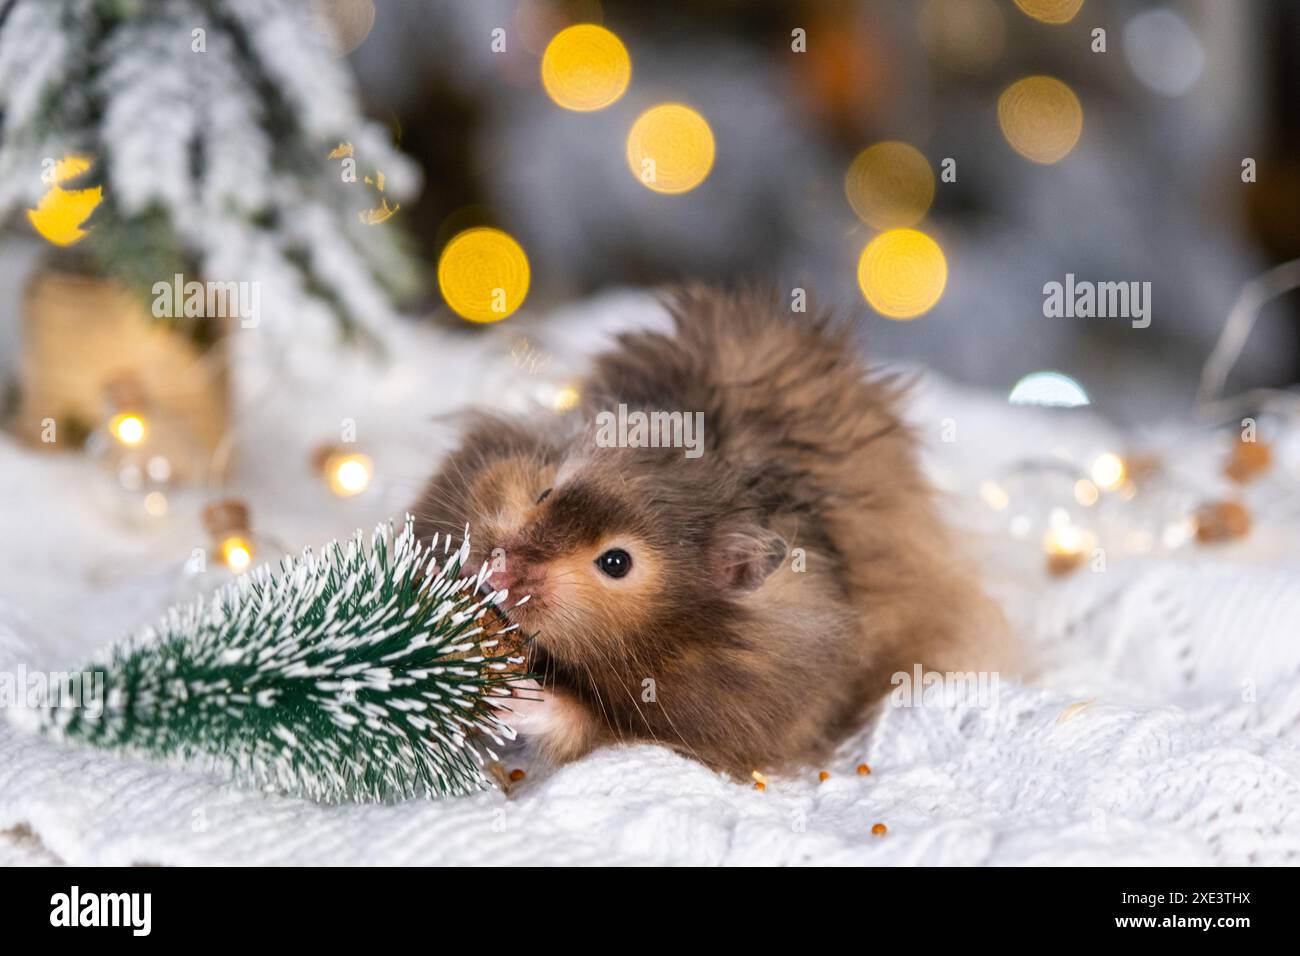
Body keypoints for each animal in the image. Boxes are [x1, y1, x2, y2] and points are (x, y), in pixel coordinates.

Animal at [416, 286, 1013, 780]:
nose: (497, 573)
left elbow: (587, 723)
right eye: (544, 493)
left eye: (615, 563)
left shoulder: (723, 717)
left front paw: (515, 697)